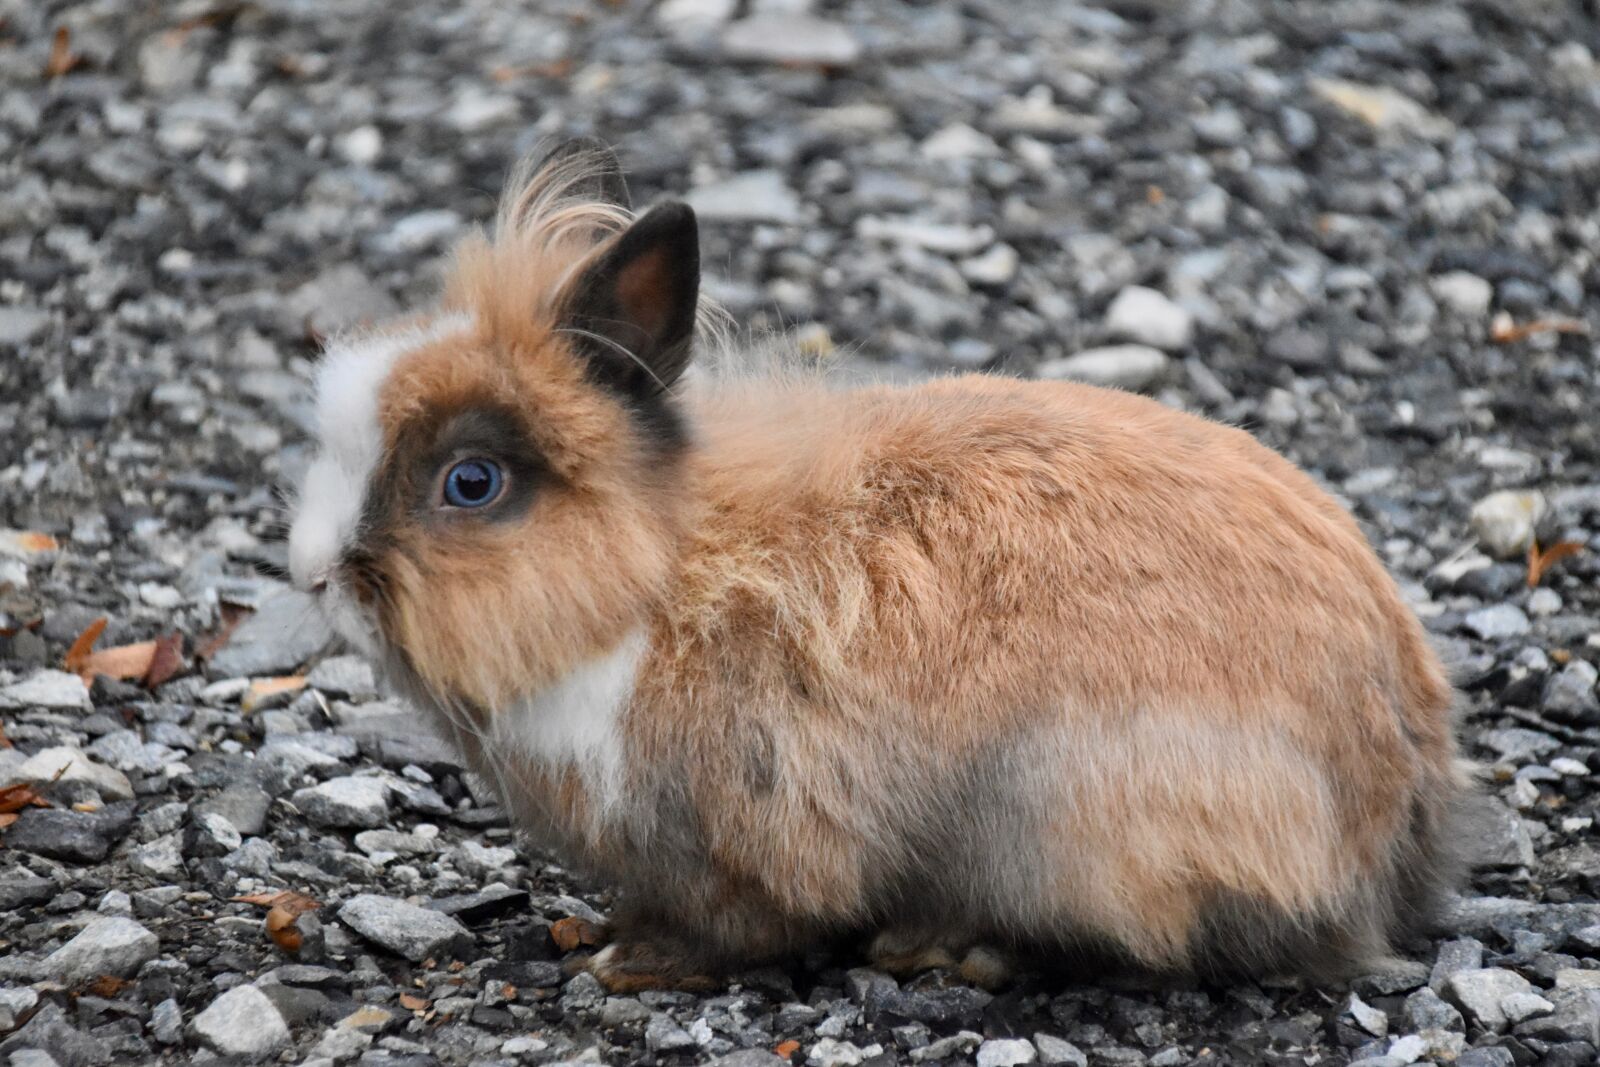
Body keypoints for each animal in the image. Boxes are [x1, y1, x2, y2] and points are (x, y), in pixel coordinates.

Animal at [286, 139, 1470, 991]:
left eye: (472, 482)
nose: (312, 573)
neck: (649, 586)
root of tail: (1393, 816)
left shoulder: (749, 826)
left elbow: (742, 923)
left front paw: (635, 961)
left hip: (1070, 823)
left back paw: (947, 947)